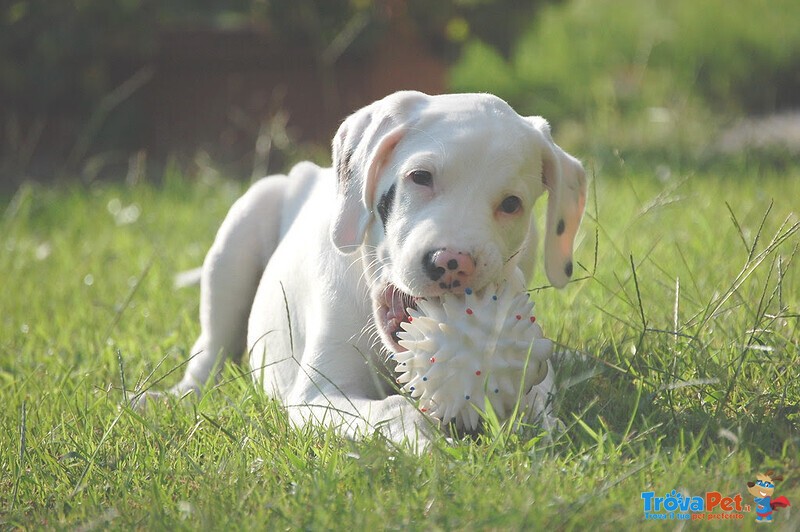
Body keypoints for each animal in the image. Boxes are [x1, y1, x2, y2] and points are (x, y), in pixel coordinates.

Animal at [156, 92, 584, 448]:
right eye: (420, 177)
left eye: (511, 204)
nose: (452, 262)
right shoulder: (318, 395)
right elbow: (393, 407)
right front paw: (427, 443)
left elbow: (537, 393)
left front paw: (541, 424)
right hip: (240, 229)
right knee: (211, 349)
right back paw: (175, 396)